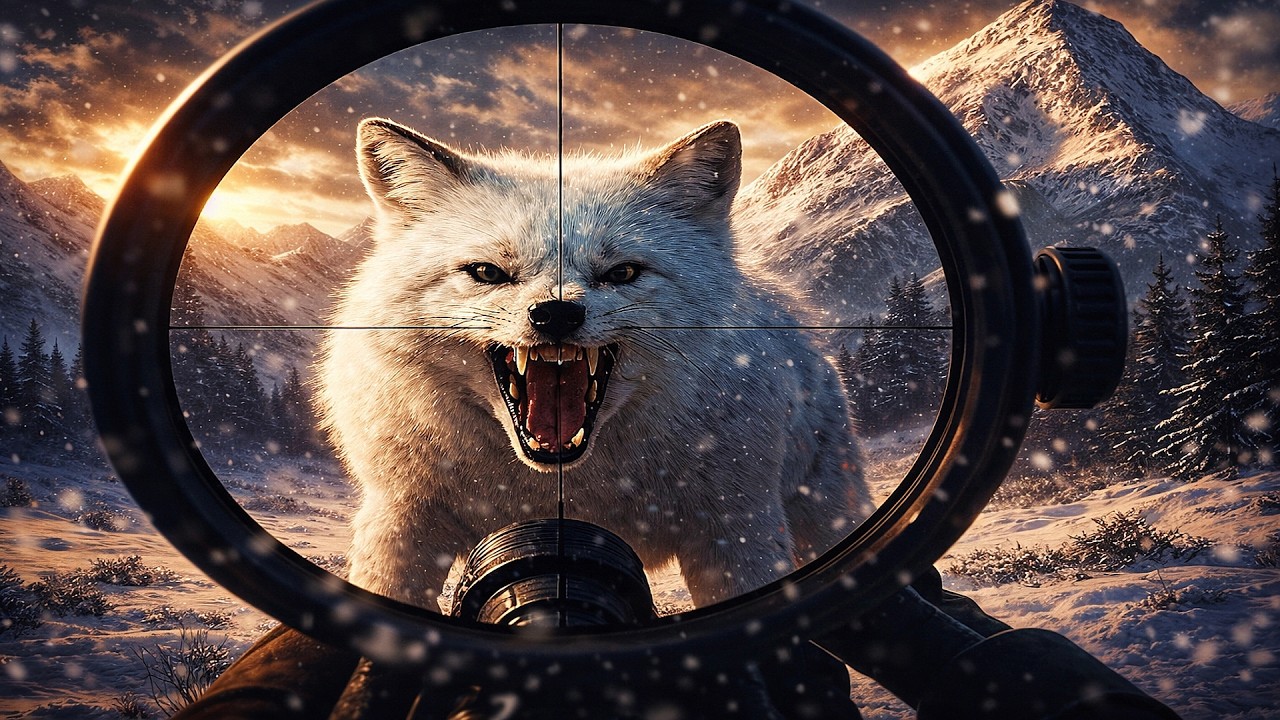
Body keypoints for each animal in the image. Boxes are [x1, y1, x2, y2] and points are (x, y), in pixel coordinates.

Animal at [318, 117, 871, 612]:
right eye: (488, 273)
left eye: (622, 273)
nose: (555, 314)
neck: (569, 495)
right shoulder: (398, 523)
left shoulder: (736, 532)